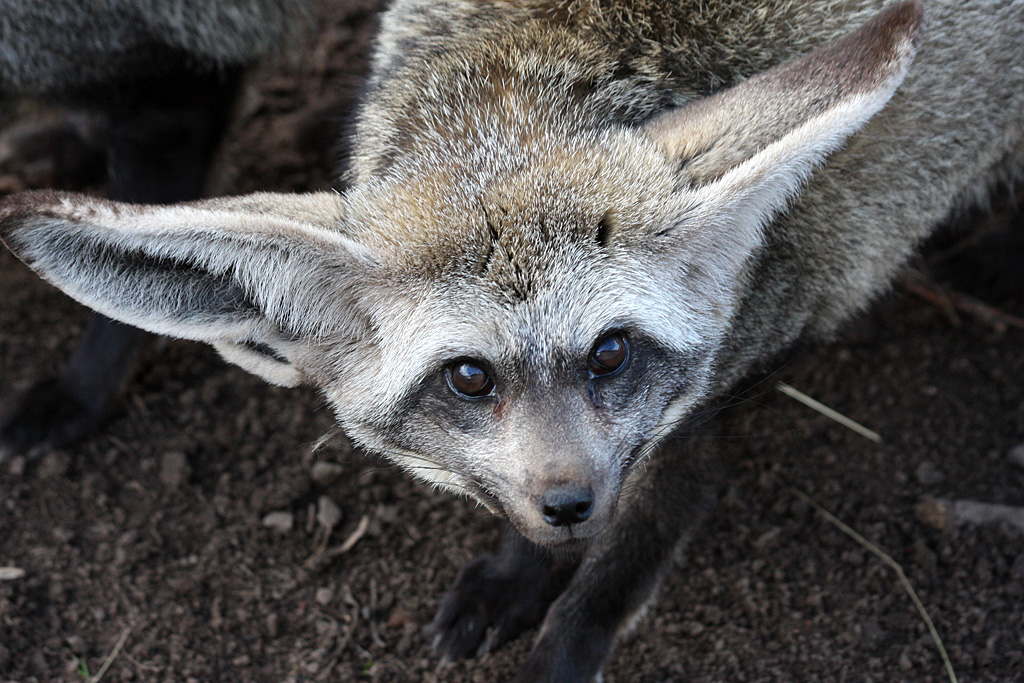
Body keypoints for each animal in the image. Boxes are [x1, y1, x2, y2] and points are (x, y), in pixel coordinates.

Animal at [2, 0, 1023, 680]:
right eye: (468, 376)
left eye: (609, 352)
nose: (571, 500)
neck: (539, 58)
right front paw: (514, 574)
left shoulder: (718, 383)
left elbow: (636, 545)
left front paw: (563, 625)